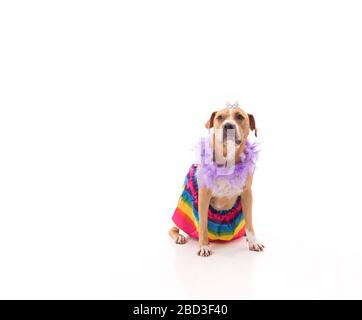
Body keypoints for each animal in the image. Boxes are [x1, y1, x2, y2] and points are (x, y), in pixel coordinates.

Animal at [168, 101, 264, 256]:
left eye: (240, 117)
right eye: (219, 117)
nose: (228, 125)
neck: (227, 159)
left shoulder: (247, 194)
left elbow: (249, 222)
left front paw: (253, 241)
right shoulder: (204, 196)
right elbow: (203, 225)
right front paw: (203, 246)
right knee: (173, 228)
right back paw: (179, 237)